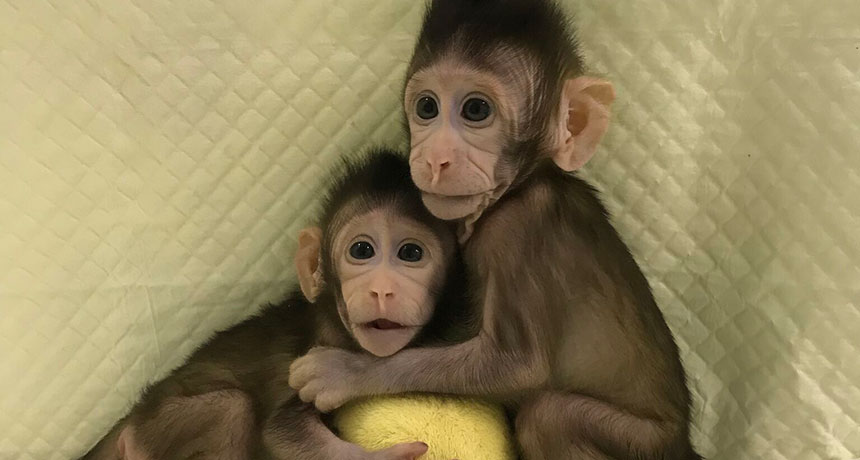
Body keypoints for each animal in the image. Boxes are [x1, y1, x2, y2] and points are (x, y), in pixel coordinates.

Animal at [79, 148, 473, 460]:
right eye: (362, 250)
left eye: (411, 253)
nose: (381, 290)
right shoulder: (315, 351)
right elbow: (282, 431)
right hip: (155, 431)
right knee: (231, 410)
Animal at [289, 1, 703, 459]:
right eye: (427, 107)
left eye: (476, 111)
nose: (435, 159)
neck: (520, 186)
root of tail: (683, 445)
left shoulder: (514, 230)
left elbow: (517, 365)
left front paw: (346, 372)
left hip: (641, 443)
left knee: (548, 415)